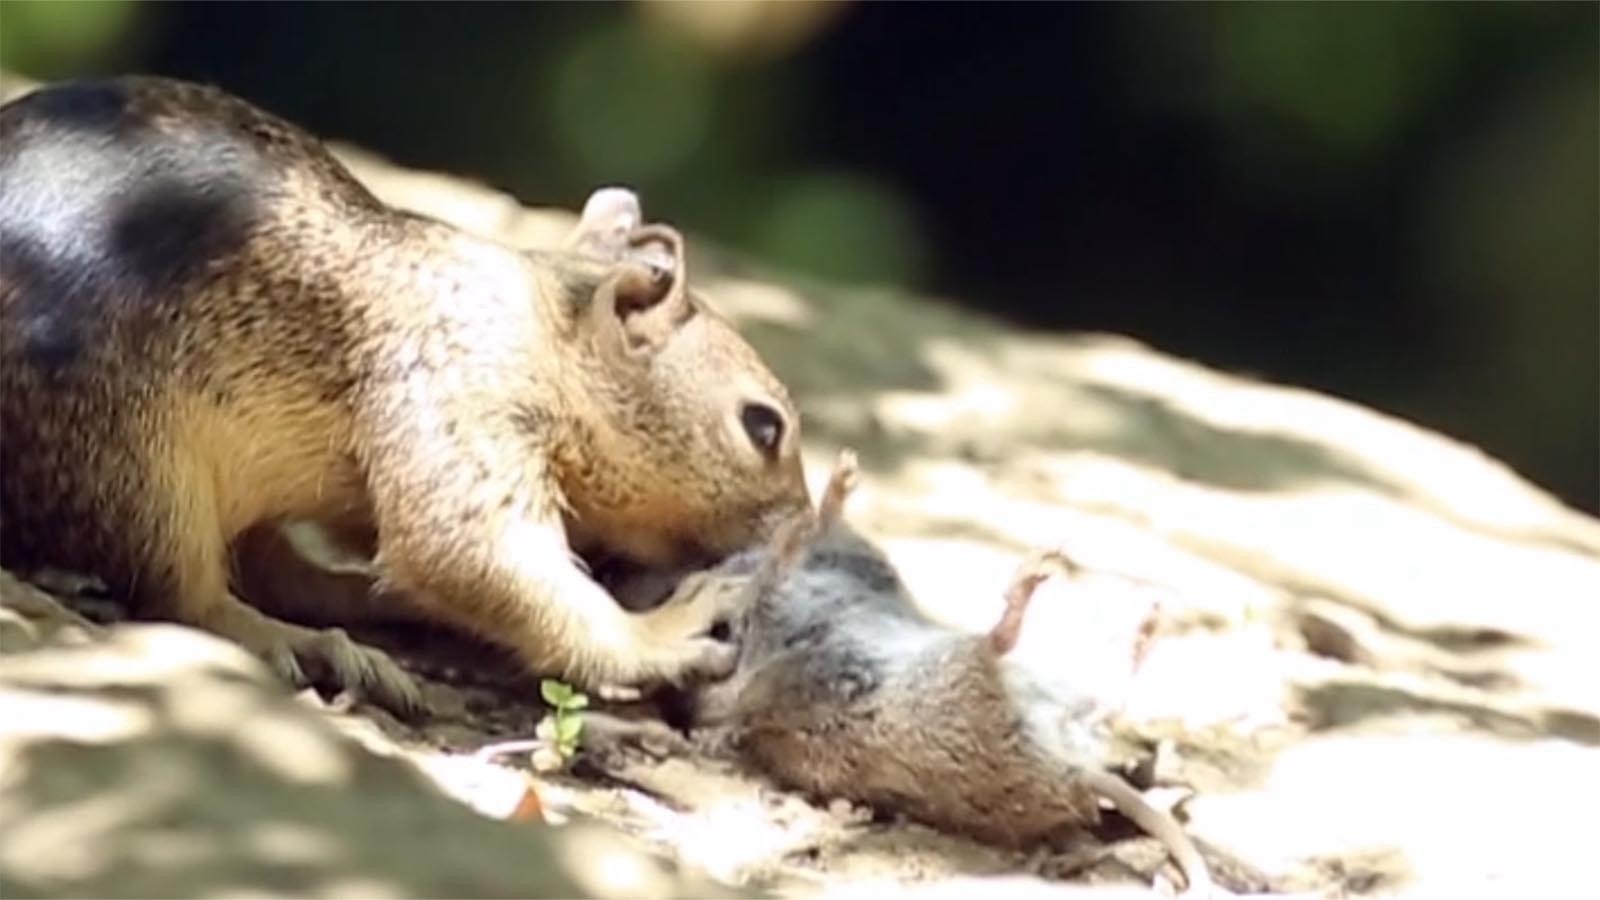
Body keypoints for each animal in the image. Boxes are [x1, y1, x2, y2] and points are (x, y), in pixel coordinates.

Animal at [0, 75, 806, 707]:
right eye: (763, 427)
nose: (801, 526)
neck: (544, 333)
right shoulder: (460, 394)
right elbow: (466, 550)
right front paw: (659, 632)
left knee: (272, 569)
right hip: (133, 462)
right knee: (186, 597)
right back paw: (308, 642)